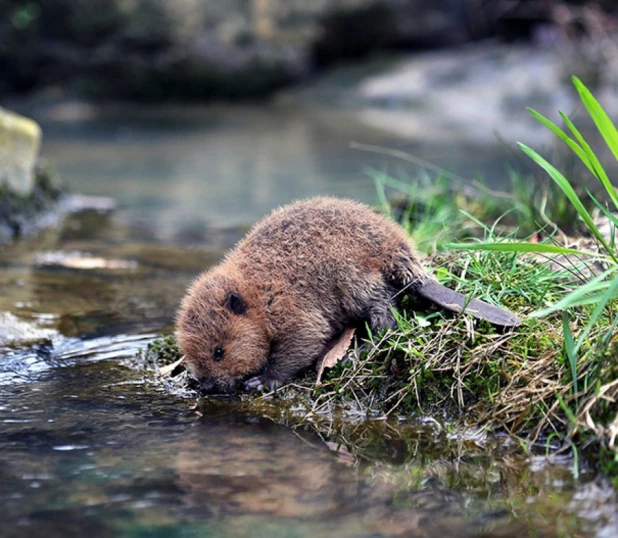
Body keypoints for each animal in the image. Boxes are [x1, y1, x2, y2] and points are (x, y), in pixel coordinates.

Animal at [176, 195, 516, 392]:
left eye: (218, 351)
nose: (206, 387)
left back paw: (361, 350)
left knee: (386, 315)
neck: (257, 290)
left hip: (354, 280)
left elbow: (304, 339)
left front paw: (261, 382)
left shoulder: (288, 304)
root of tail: (405, 258)